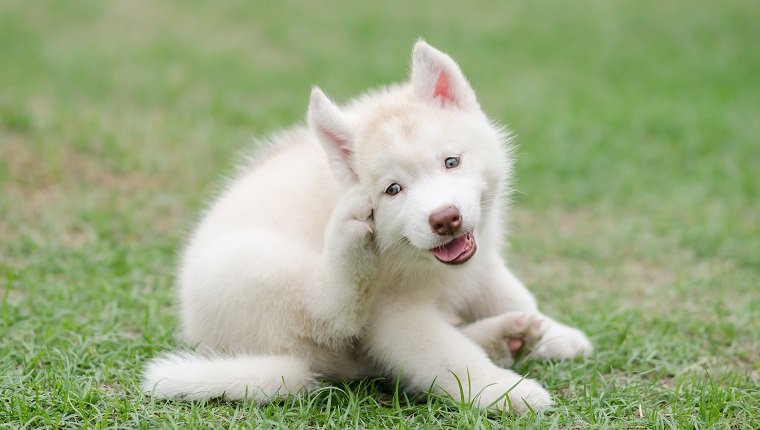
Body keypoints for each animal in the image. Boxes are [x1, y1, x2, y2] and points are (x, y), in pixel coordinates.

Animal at [144, 40, 592, 414]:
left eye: (451, 162)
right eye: (393, 190)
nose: (445, 218)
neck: (420, 263)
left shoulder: (480, 261)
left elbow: (511, 294)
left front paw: (554, 333)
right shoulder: (394, 314)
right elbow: (448, 357)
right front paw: (504, 391)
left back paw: (506, 338)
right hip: (250, 265)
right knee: (331, 314)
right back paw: (349, 241)